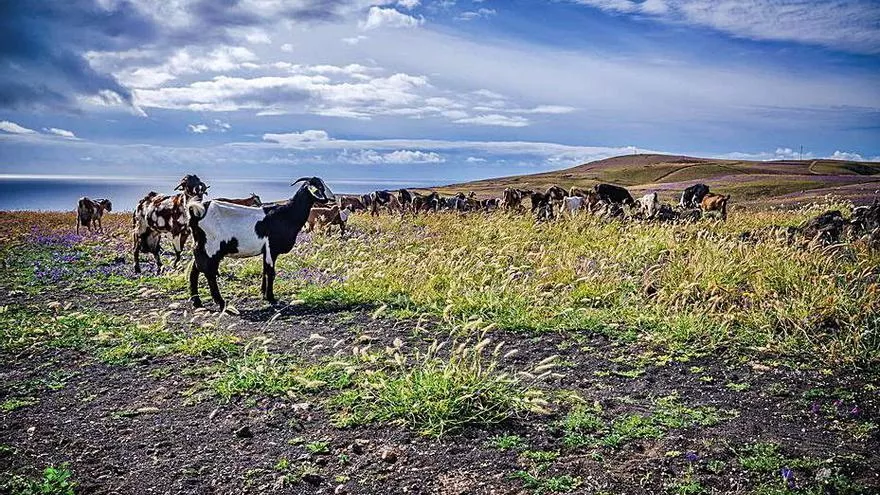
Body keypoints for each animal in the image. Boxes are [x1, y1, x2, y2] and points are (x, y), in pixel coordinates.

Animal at [186, 177, 334, 310]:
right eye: (319, 186)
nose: (332, 198)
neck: (287, 215)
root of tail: (197, 211)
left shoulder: (266, 250)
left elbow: (264, 270)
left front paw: (263, 293)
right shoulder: (271, 248)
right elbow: (271, 272)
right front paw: (271, 297)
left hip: (202, 247)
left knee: (195, 270)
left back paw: (197, 302)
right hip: (211, 247)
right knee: (208, 272)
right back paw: (221, 303)